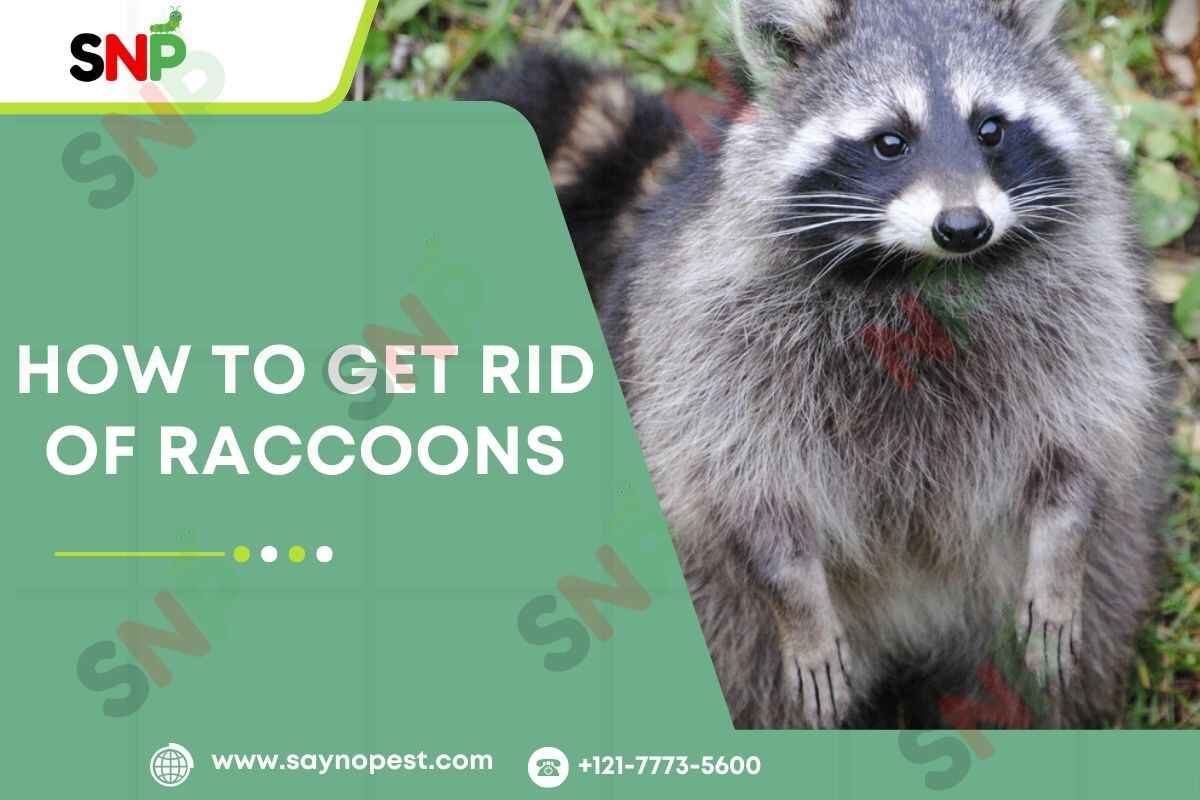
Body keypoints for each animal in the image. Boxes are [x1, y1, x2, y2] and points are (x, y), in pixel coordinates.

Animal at [465, 0, 1174, 728]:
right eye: (889, 142)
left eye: (991, 129)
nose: (963, 226)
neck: (915, 271)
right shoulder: (713, 333)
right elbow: (743, 480)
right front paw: (794, 594)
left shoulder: (1083, 298)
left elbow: (1081, 439)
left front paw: (1061, 545)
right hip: (720, 606)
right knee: (754, 680)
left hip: (1102, 569)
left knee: (1031, 675)